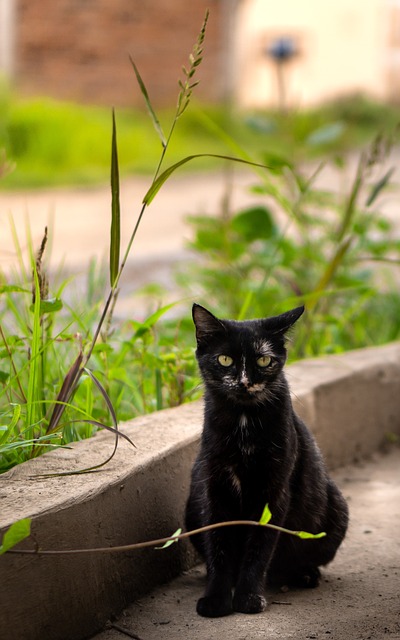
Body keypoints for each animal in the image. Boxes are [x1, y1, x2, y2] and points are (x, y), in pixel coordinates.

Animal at [186, 306, 348, 620]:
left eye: (264, 360)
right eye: (224, 359)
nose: (244, 382)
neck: (243, 422)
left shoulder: (274, 492)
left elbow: (260, 547)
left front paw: (248, 597)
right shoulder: (214, 488)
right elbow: (218, 545)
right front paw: (215, 599)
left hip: (336, 508)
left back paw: (305, 575)